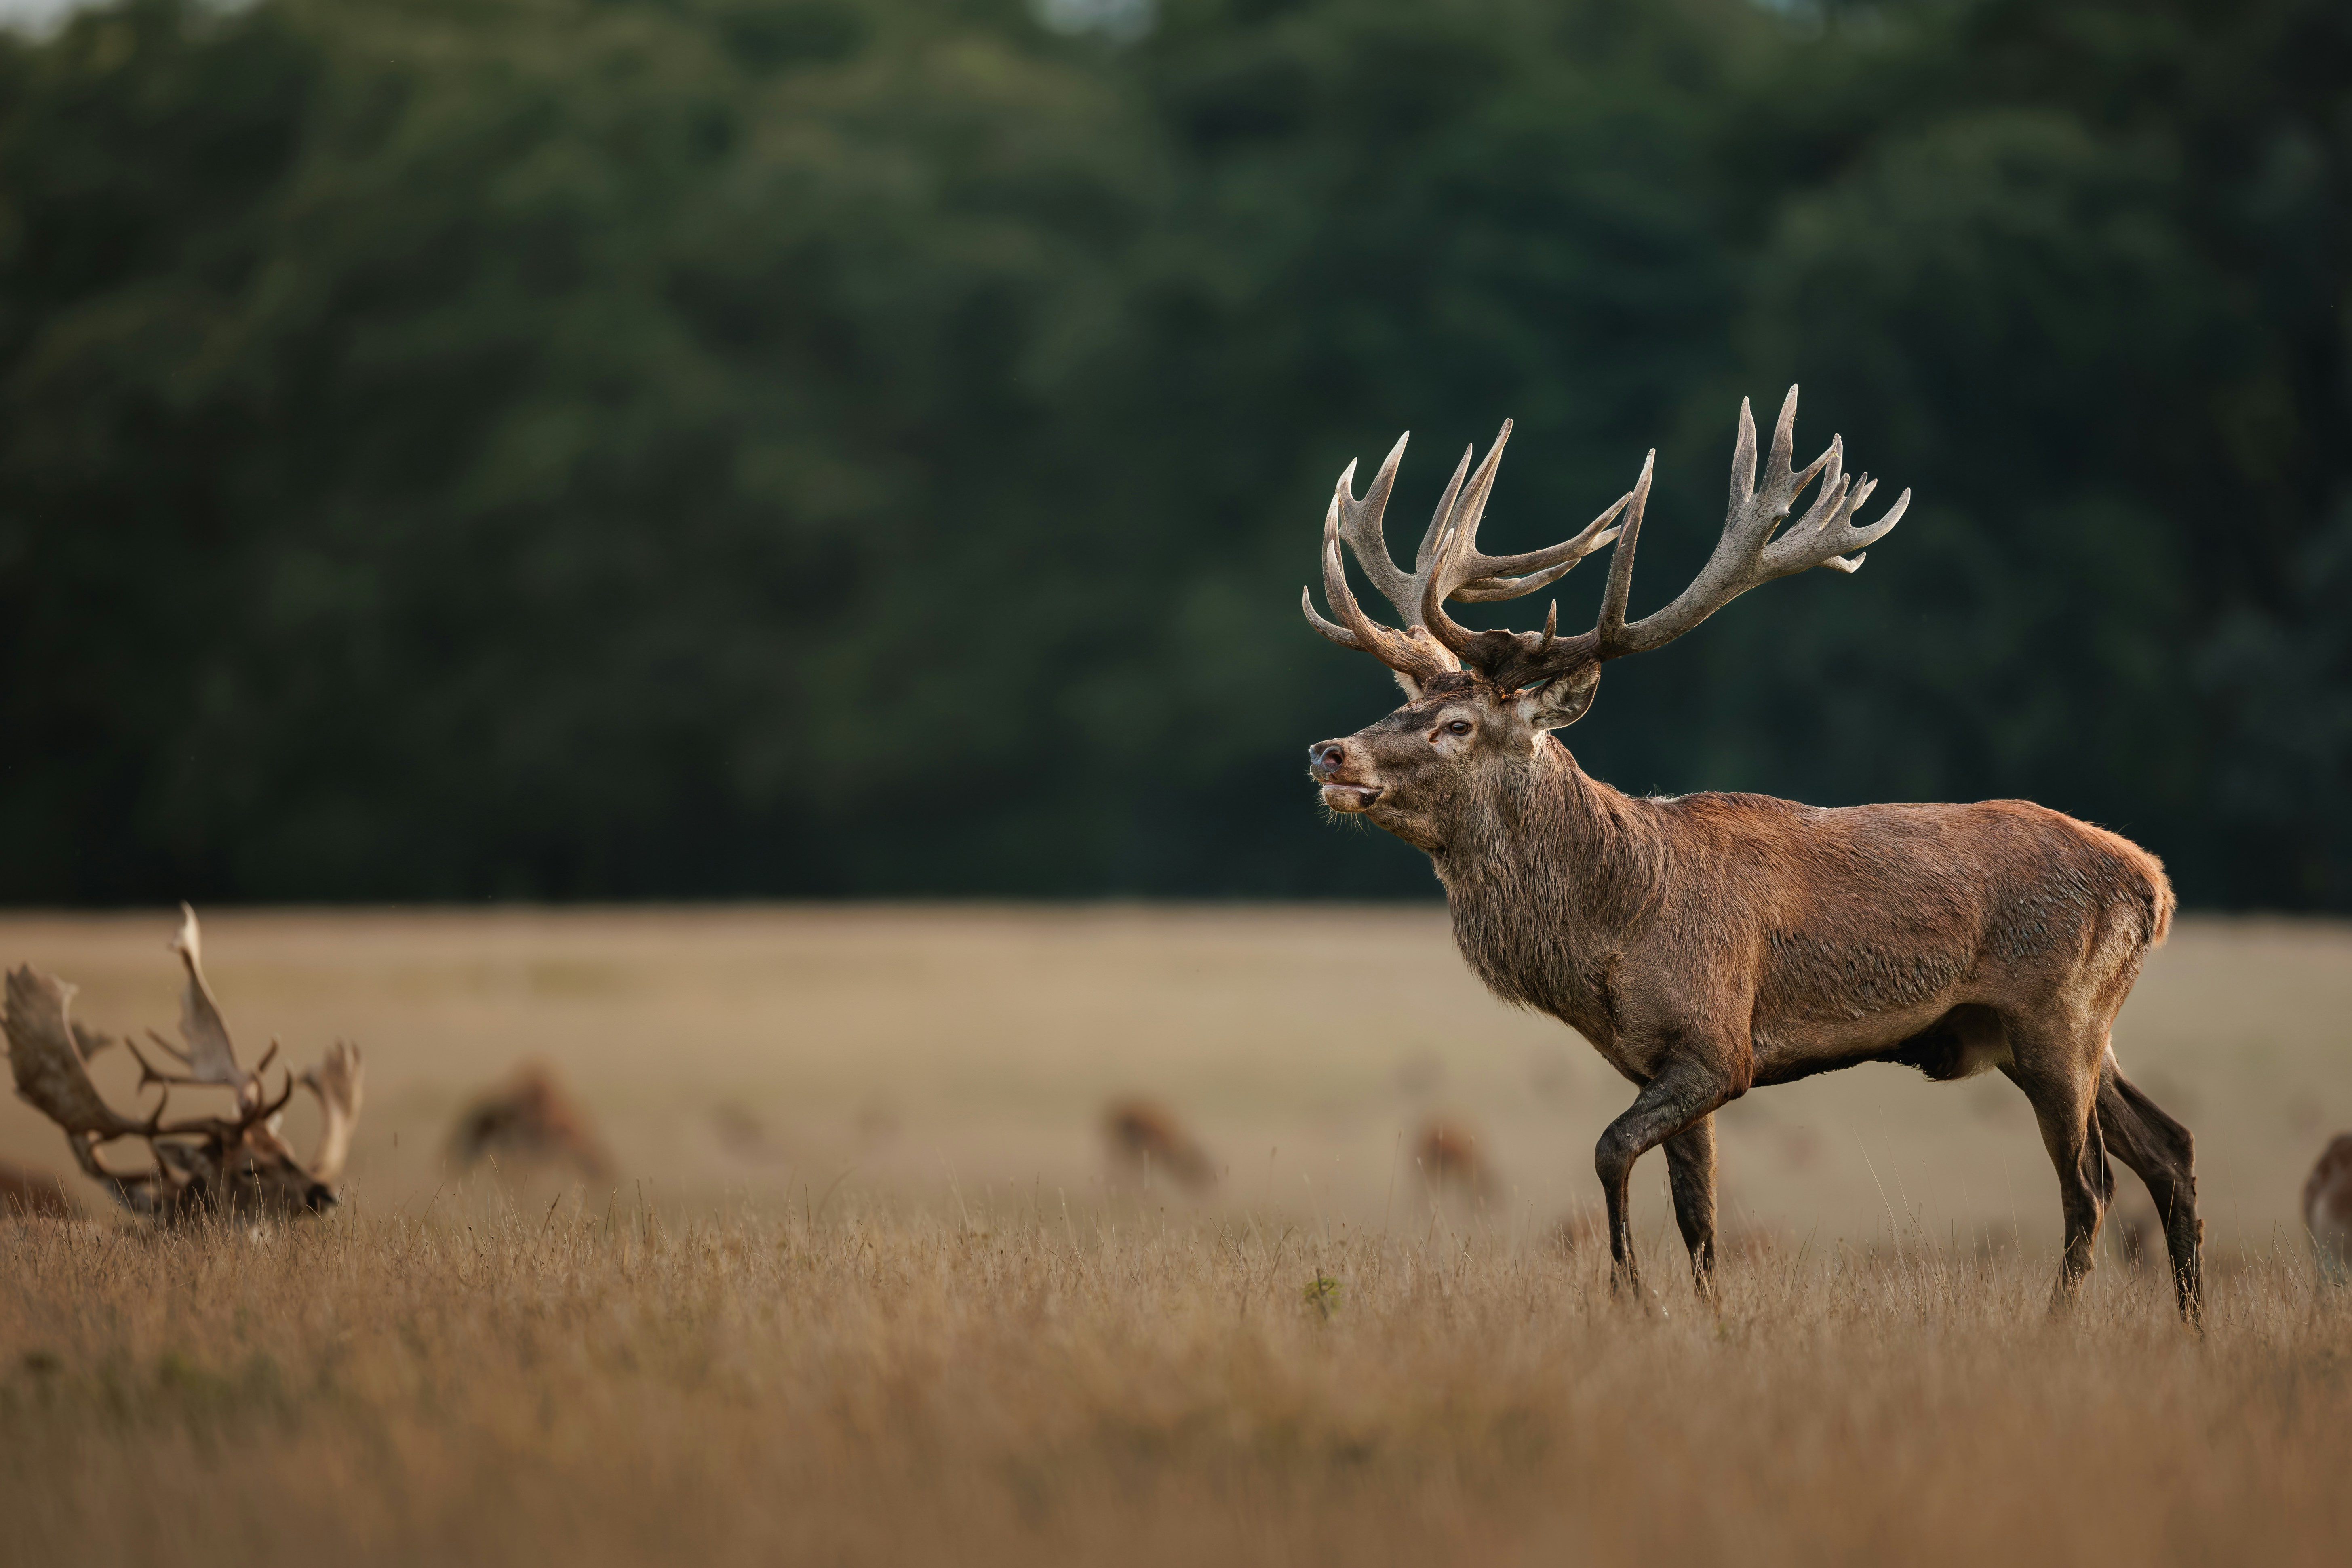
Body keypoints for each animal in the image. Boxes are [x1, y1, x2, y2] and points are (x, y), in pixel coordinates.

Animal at [1301, 388, 2202, 1321]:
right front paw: (1707, 1318)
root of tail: (2155, 883)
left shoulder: (1719, 1043)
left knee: (2091, 1187)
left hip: (2057, 1013)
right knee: (2170, 1146)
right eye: (1401, 703)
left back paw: (2057, 1324)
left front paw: (1632, 1296)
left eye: (1457, 724)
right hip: (2064, 1029)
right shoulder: (1659, 1059)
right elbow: (1699, 1215)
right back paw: (2192, 1325)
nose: (1330, 753)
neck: (1614, 926)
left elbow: (1610, 1152)